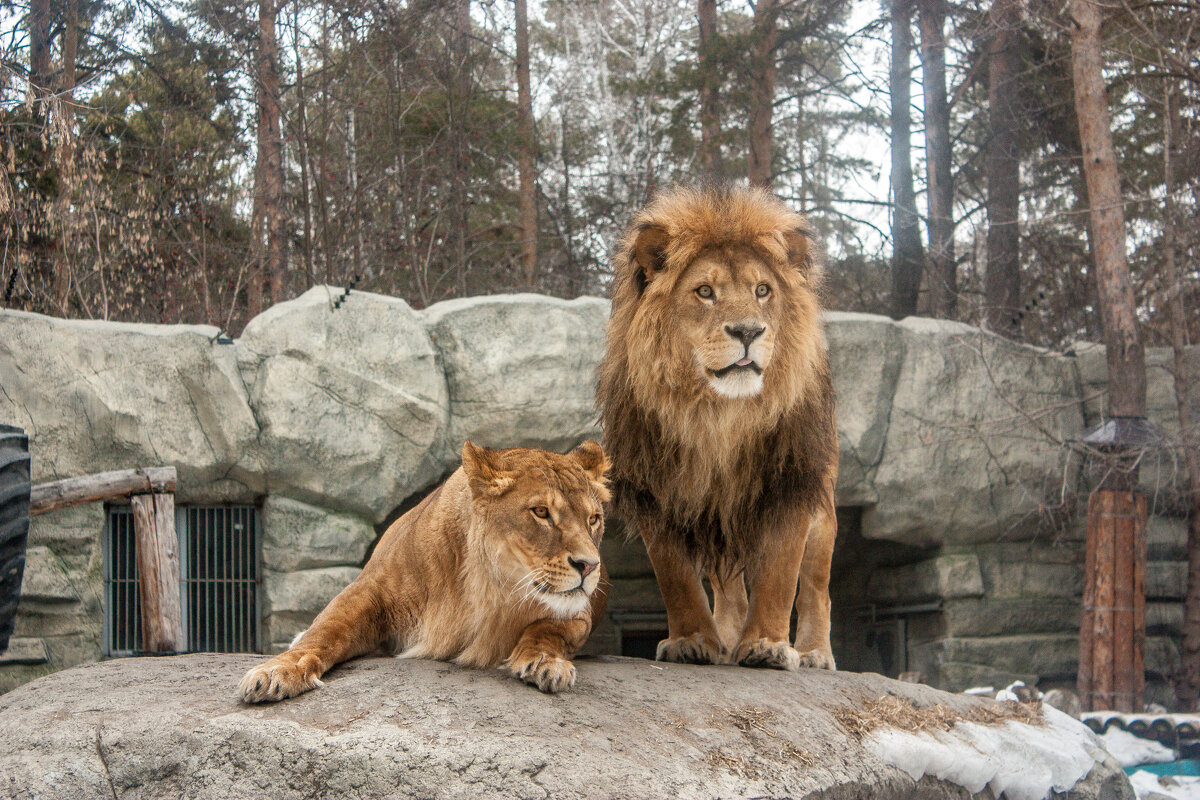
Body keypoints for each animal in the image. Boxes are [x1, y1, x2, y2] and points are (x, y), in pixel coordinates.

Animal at [237, 438, 609, 700]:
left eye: (593, 519)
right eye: (541, 512)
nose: (589, 565)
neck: (487, 587)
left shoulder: (578, 613)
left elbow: (549, 629)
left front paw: (546, 663)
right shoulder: (369, 589)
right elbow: (325, 632)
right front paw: (277, 672)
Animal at [597, 184, 840, 671]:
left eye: (763, 290)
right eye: (705, 291)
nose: (747, 331)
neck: (719, 415)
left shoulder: (790, 482)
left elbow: (781, 576)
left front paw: (767, 646)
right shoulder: (659, 491)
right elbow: (676, 579)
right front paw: (693, 641)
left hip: (822, 505)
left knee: (816, 586)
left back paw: (813, 653)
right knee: (729, 590)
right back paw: (727, 641)